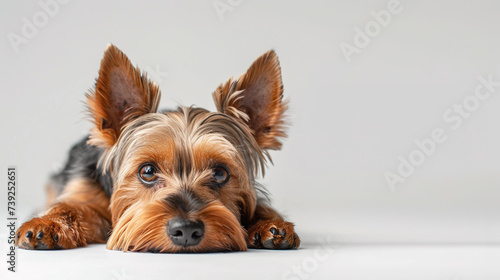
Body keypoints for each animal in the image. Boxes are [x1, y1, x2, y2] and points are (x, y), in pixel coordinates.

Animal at [13, 44, 298, 253]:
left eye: (220, 173)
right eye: (147, 171)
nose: (186, 230)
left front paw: (270, 223)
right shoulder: (84, 187)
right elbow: (70, 205)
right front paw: (48, 223)